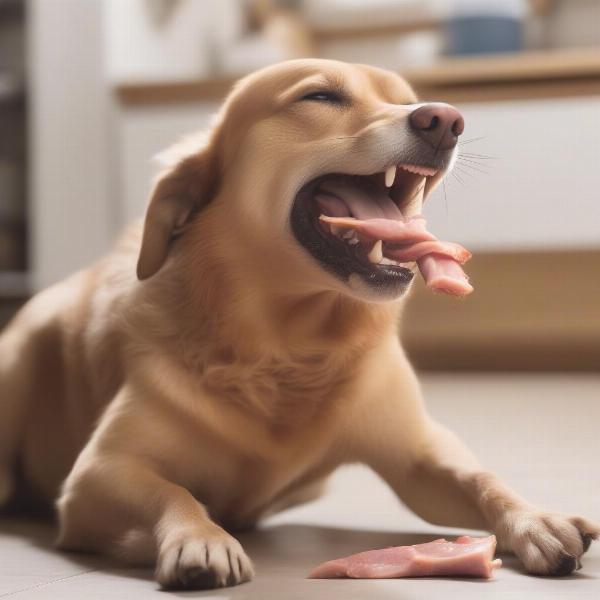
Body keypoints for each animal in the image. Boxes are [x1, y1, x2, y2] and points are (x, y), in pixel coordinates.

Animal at [0, 59, 596, 584]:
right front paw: (201, 538)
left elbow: (480, 476)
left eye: (407, 98)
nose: (445, 119)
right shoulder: (99, 473)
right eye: (320, 96)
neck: (290, 343)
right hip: (20, 355)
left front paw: (535, 519)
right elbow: (174, 492)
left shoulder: (419, 455)